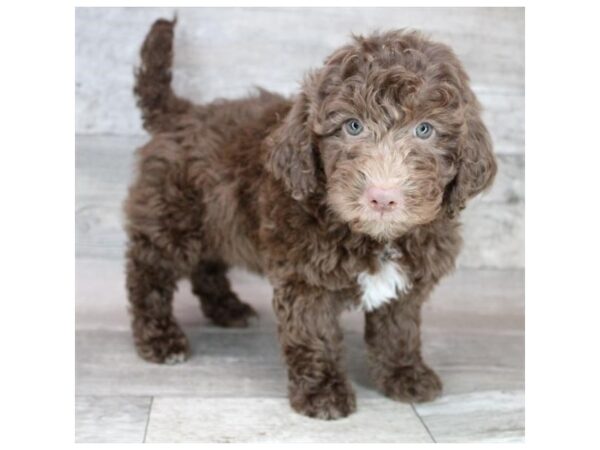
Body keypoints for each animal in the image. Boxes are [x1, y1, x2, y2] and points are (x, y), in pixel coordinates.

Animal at [123, 17, 496, 418]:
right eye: (352, 126)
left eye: (424, 129)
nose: (382, 196)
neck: (375, 237)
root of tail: (182, 113)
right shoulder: (304, 277)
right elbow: (314, 333)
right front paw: (323, 393)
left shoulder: (409, 280)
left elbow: (398, 329)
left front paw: (404, 374)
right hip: (172, 219)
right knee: (149, 272)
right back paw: (162, 339)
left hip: (218, 218)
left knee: (207, 265)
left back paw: (228, 309)